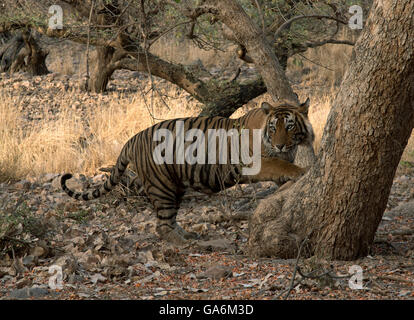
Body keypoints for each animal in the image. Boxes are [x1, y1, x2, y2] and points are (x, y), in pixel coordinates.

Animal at [60, 99, 314, 244]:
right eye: (273, 128)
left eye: (290, 126)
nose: (280, 145)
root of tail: (132, 139)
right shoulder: (256, 163)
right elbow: (282, 166)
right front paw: (302, 170)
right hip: (161, 186)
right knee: (162, 226)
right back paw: (183, 243)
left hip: (175, 186)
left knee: (170, 219)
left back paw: (187, 235)